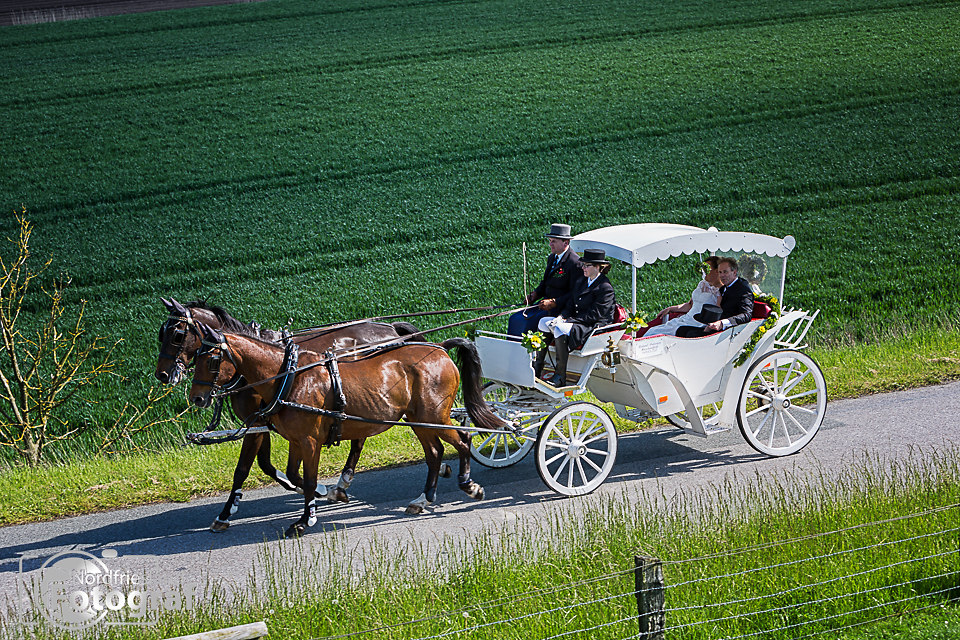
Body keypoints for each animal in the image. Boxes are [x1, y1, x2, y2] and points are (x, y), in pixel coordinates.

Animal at [157, 298, 424, 532]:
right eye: (161, 334)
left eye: (177, 335)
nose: (162, 374)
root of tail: (392, 328)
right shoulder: (261, 423)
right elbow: (265, 464)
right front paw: (301, 488)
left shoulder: (258, 422)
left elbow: (244, 468)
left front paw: (225, 514)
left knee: (360, 439)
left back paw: (342, 484)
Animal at [188, 322, 502, 536]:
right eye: (195, 356)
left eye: (212, 359)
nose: (197, 398)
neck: (288, 377)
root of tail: (440, 349)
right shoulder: (295, 439)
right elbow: (290, 473)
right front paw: (323, 497)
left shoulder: (309, 440)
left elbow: (308, 479)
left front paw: (305, 520)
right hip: (418, 418)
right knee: (435, 452)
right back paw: (423, 498)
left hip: (434, 414)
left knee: (462, 439)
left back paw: (469, 485)